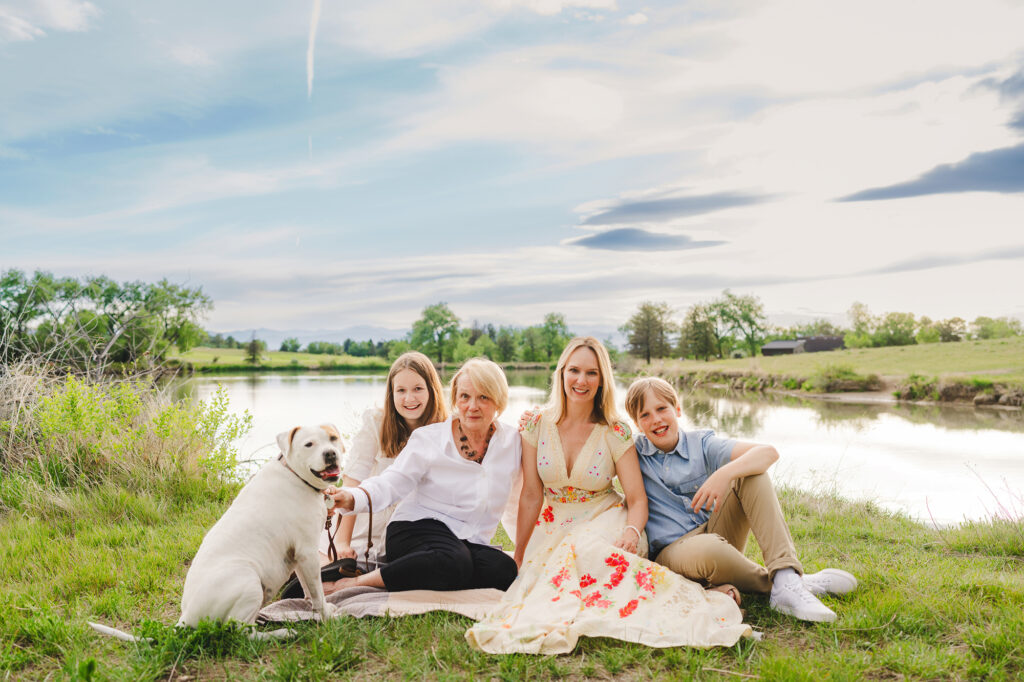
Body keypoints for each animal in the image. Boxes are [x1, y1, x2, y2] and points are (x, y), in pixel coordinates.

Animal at [178, 425, 342, 626]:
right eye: (309, 444)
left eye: (333, 438)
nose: (330, 454)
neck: (295, 474)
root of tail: (186, 616)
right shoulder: (308, 551)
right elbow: (318, 590)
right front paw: (327, 617)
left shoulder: (300, 556)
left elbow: (308, 587)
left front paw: (314, 606)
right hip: (249, 583)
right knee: (243, 629)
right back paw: (280, 631)